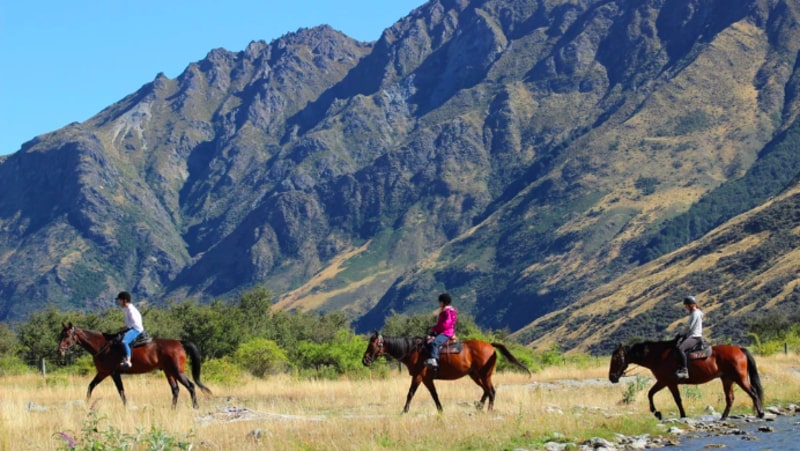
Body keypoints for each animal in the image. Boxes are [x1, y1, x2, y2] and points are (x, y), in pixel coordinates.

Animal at [57, 322, 212, 410]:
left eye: (67, 335)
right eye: (61, 335)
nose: (59, 350)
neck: (102, 346)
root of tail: (179, 342)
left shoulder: (111, 373)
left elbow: (121, 391)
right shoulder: (103, 373)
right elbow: (91, 387)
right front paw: (87, 403)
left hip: (177, 372)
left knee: (190, 386)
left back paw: (195, 407)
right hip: (169, 372)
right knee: (175, 390)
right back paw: (172, 409)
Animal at [362, 332, 532, 414]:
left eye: (373, 345)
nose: (364, 360)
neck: (414, 351)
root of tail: (490, 345)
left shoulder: (418, 376)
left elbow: (410, 393)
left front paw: (404, 410)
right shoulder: (427, 379)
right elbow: (434, 395)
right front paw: (440, 410)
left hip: (484, 375)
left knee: (491, 391)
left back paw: (488, 410)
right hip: (475, 375)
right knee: (486, 390)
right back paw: (479, 406)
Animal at [608, 340, 764, 422]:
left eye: (617, 358)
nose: (612, 377)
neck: (658, 356)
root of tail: (740, 349)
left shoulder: (667, 382)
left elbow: (666, 397)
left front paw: (659, 413)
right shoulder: (666, 382)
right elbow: (654, 394)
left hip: (739, 378)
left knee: (753, 393)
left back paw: (760, 413)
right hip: (727, 379)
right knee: (730, 398)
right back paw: (723, 417)